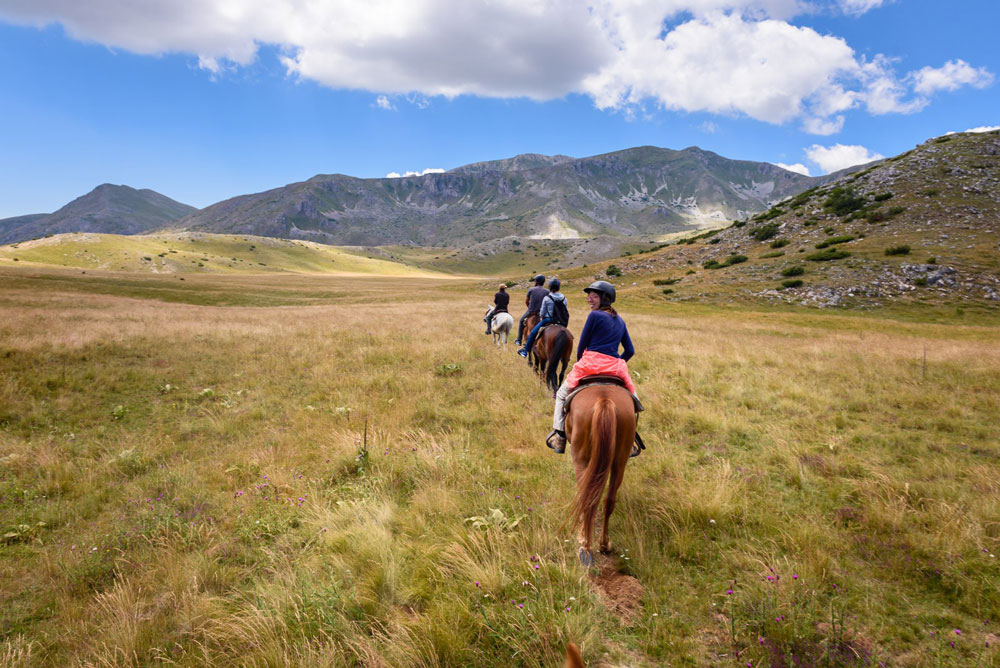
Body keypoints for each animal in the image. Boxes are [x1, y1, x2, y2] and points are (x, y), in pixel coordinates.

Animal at [568, 384, 636, 568]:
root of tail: (605, 401)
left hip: (581, 459)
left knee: (587, 498)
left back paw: (585, 545)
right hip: (620, 461)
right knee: (609, 500)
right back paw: (604, 544)